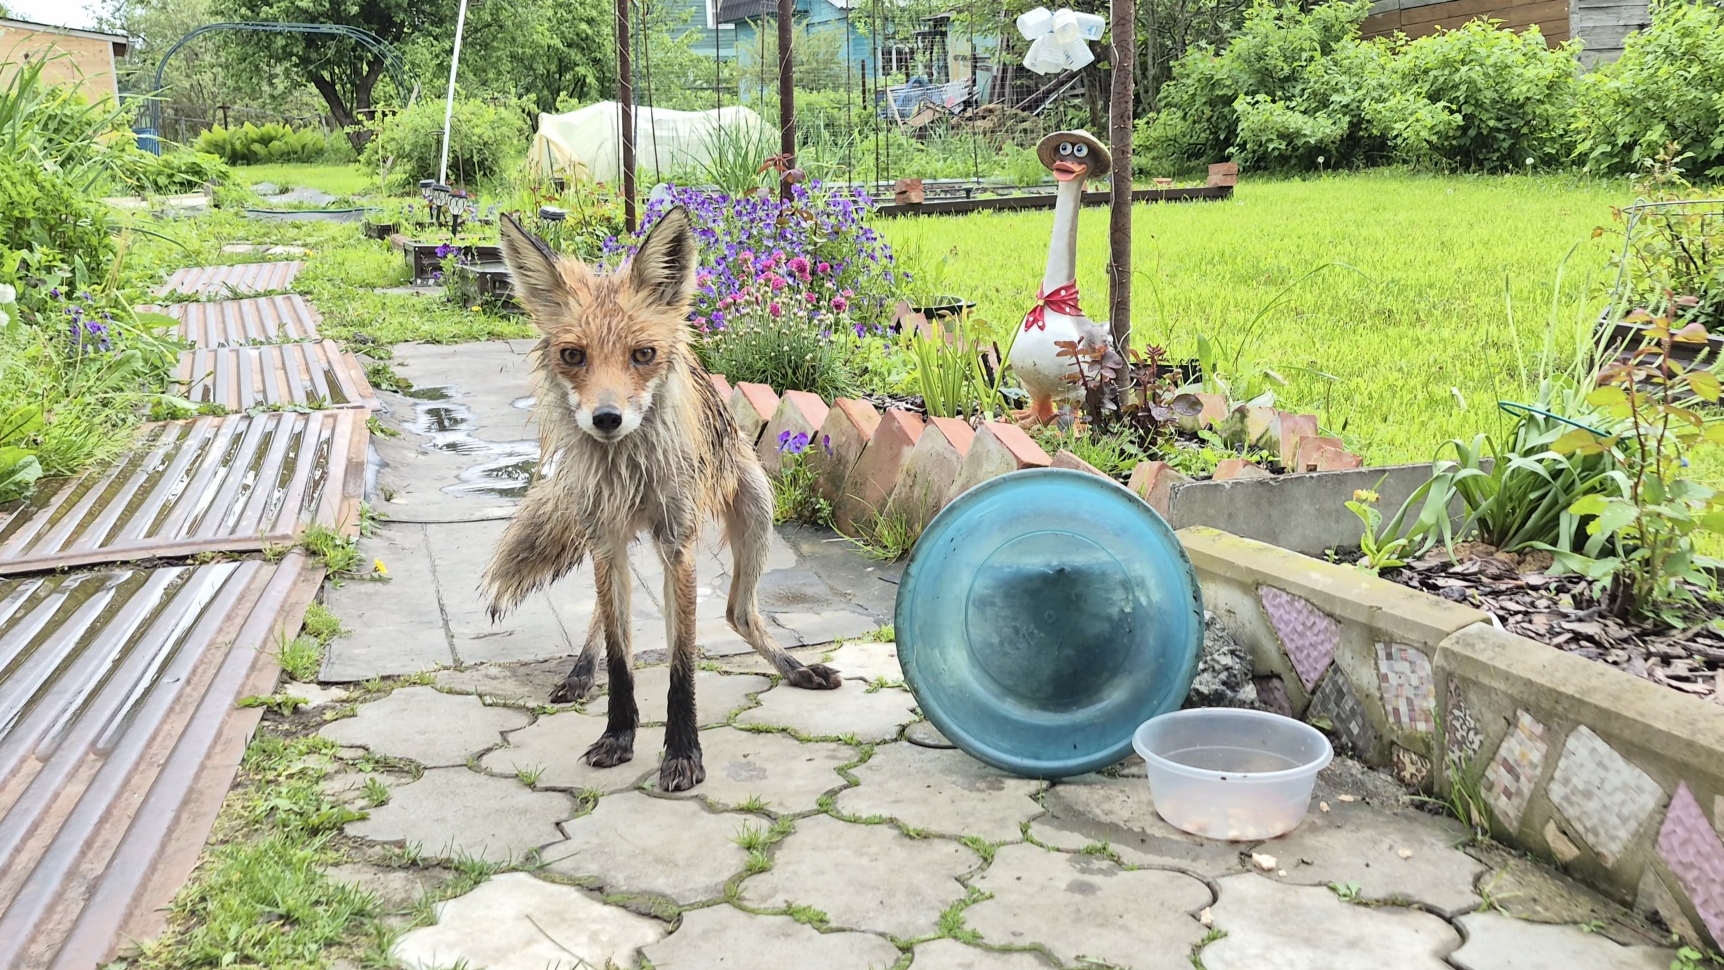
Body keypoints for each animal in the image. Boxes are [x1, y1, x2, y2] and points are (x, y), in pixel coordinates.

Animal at [479, 206, 843, 793]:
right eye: (572, 355)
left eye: (643, 354)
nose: (606, 419)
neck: (629, 473)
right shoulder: (606, 543)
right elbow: (620, 657)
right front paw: (618, 736)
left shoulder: (679, 545)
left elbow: (681, 665)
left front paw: (682, 753)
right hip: (613, 544)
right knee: (606, 621)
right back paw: (581, 672)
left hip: (756, 514)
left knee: (738, 614)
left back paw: (795, 668)